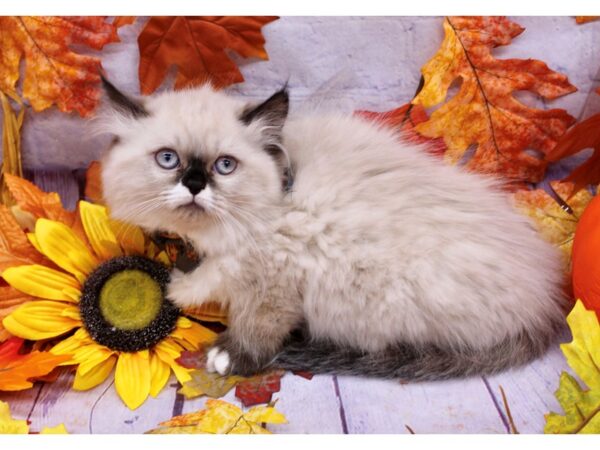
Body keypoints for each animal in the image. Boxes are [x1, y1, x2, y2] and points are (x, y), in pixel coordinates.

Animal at [99, 77, 568, 380]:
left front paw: (229, 357)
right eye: (168, 160)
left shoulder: (274, 281)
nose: (195, 185)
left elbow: (256, 326)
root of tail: (547, 303)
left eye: (225, 166)